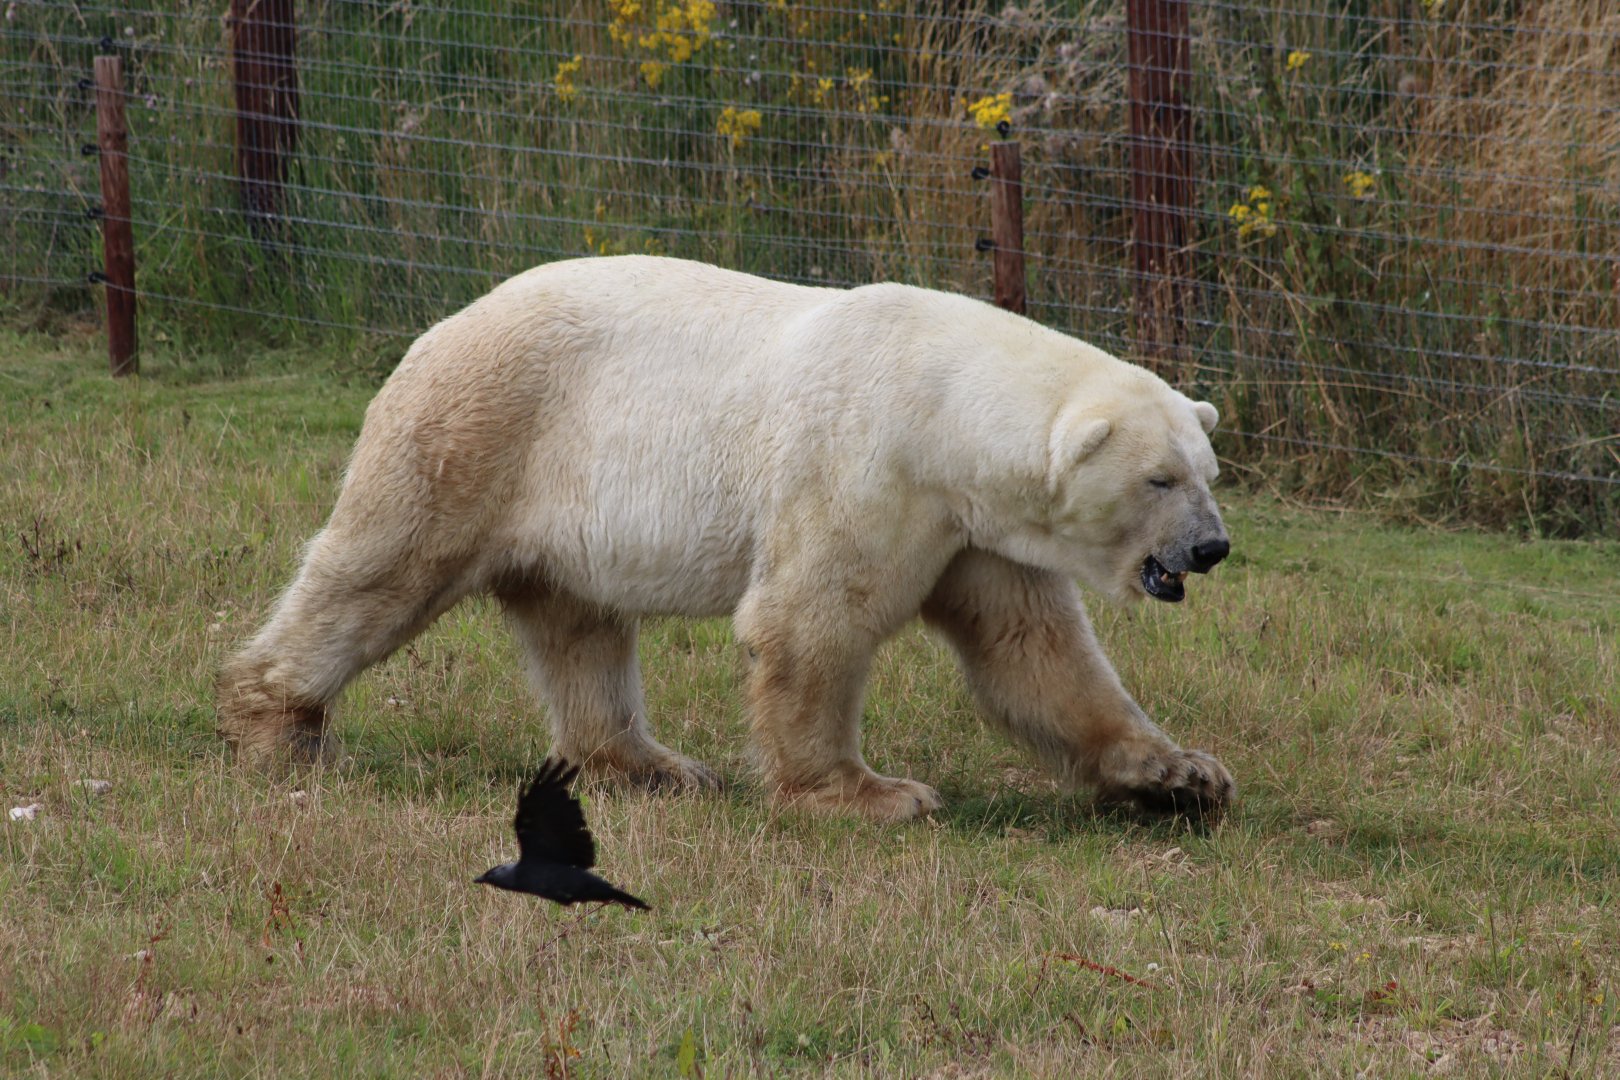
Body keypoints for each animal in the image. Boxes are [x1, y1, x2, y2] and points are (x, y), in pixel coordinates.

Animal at [218, 256, 1234, 822]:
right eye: (1160, 479)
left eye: (1209, 472)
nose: (1211, 549)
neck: (947, 405)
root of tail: (444, 322)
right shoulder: (866, 464)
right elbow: (812, 620)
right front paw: (868, 795)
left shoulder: (972, 527)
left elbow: (1034, 652)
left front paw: (1181, 775)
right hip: (481, 432)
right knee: (379, 571)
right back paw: (277, 725)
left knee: (579, 627)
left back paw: (654, 767)